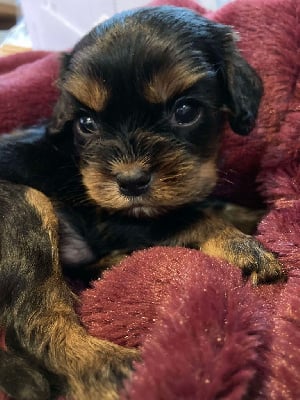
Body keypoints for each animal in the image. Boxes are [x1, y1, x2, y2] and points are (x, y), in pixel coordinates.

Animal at [0, 5, 286, 400]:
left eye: (185, 111)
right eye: (86, 123)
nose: (131, 181)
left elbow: (206, 204)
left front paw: (257, 213)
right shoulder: (114, 217)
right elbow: (193, 218)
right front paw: (240, 245)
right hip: (25, 203)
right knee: (33, 319)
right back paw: (109, 367)